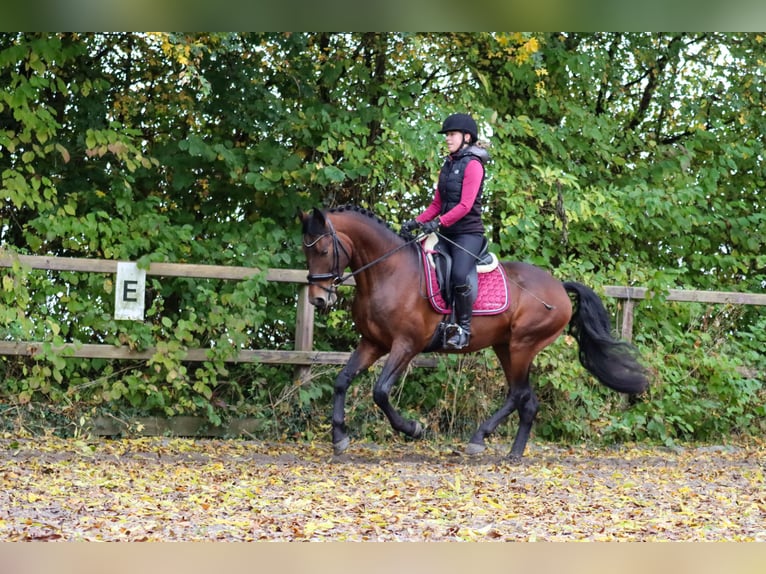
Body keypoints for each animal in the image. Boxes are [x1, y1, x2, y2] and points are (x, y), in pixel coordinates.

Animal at [298, 205, 648, 462]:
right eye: (307, 252)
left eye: (324, 250)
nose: (319, 299)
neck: (388, 272)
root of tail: (559, 288)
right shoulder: (373, 343)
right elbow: (342, 380)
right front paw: (339, 438)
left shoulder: (406, 345)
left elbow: (381, 392)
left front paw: (413, 429)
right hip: (505, 346)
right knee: (526, 399)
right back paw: (513, 453)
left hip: (523, 345)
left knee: (518, 394)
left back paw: (480, 439)